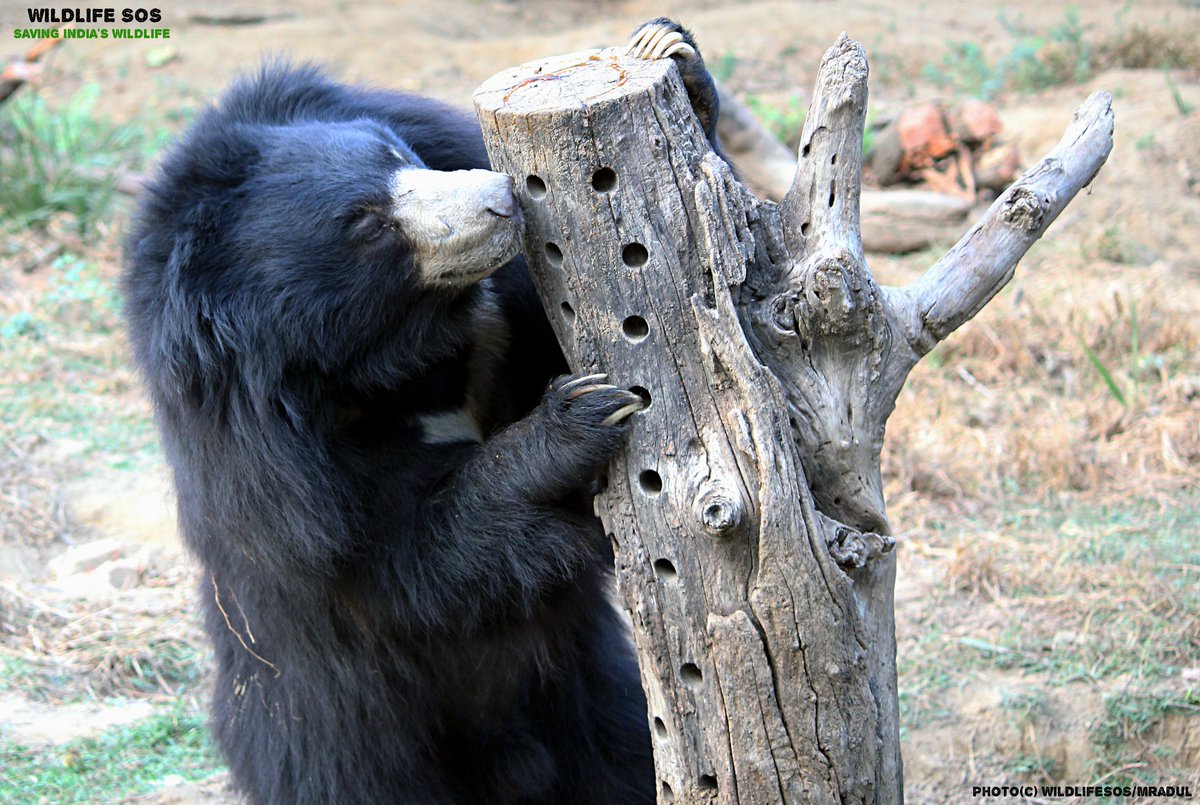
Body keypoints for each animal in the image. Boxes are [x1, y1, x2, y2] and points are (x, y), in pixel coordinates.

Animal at [122, 18, 721, 805]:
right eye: (366, 225)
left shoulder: (495, 329)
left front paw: (671, 52)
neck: (398, 356)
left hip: (587, 688)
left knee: (614, 755)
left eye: (396, 154)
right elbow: (414, 555)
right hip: (332, 731)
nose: (502, 198)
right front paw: (581, 417)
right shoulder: (278, 474)